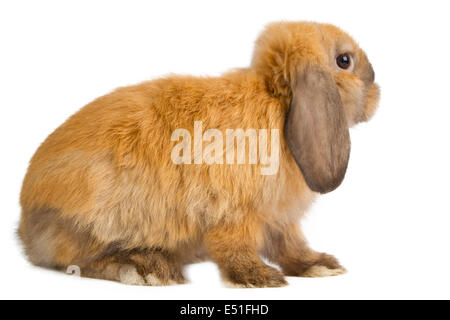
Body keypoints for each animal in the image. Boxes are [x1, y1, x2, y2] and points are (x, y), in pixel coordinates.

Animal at [19, 21, 380, 288]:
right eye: (344, 60)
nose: (377, 90)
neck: (278, 101)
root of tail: (27, 225)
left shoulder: (280, 218)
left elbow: (290, 245)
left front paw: (320, 265)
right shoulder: (235, 211)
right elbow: (235, 245)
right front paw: (259, 278)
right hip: (105, 216)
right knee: (80, 260)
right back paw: (146, 268)